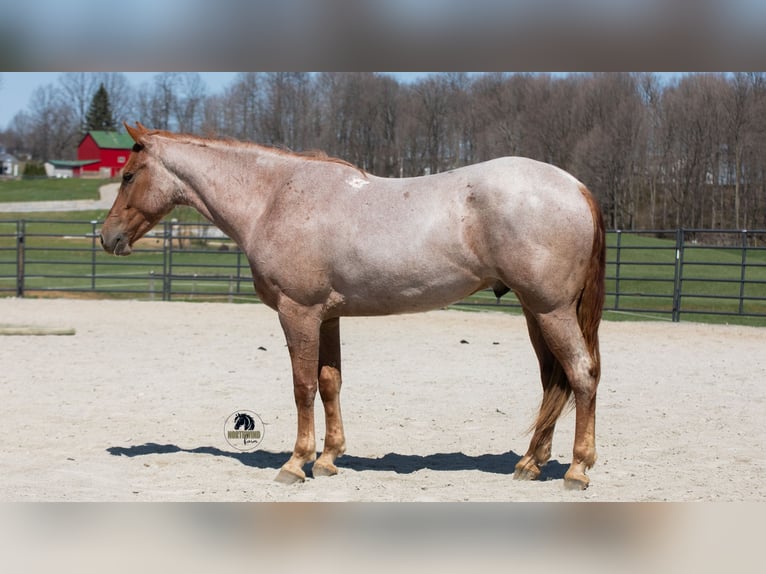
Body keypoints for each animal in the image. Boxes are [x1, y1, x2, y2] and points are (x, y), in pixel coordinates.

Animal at [100, 122, 606, 490]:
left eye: (128, 175)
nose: (107, 237)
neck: (274, 197)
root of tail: (576, 186)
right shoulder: (327, 317)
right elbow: (330, 383)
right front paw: (327, 459)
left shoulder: (298, 312)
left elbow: (303, 386)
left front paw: (296, 463)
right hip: (534, 311)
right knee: (553, 381)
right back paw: (530, 464)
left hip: (551, 310)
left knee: (581, 375)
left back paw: (577, 470)